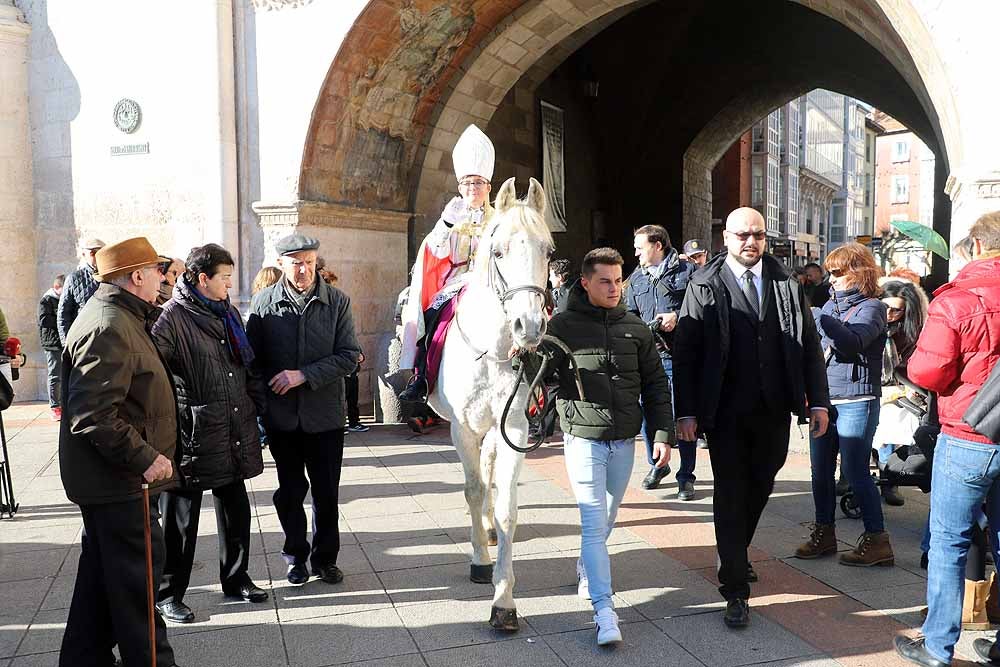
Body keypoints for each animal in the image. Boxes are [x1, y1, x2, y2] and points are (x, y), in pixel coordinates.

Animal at [428, 177, 556, 632]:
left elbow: (505, 508)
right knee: (478, 481)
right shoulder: (462, 429)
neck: (492, 350)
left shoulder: (513, 429)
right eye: (497, 252)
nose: (529, 327)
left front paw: (504, 601)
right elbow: (471, 490)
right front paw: (481, 563)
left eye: (548, 250)